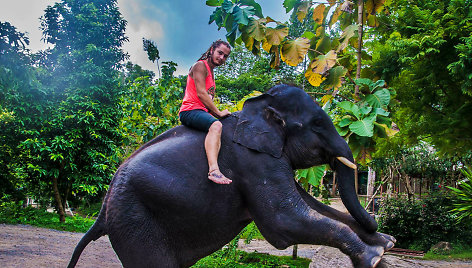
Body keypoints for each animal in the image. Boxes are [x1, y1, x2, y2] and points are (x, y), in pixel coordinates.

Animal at [66, 84, 394, 268]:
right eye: (316, 123)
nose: (379, 222)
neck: (260, 104)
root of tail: (102, 211)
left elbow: (312, 207)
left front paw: (385, 243)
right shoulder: (252, 160)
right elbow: (283, 222)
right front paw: (373, 257)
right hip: (134, 222)